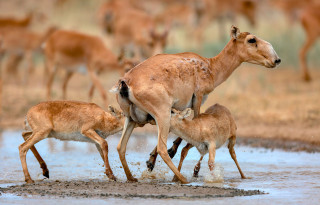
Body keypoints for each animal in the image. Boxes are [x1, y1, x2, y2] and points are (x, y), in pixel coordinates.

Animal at [112, 25, 280, 184]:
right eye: (251, 39)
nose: (276, 59)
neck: (211, 67)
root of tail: (126, 82)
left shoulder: (180, 108)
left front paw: (151, 161)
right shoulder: (198, 99)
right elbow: (194, 125)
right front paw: (194, 169)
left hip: (131, 119)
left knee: (121, 147)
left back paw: (131, 177)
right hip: (162, 114)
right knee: (161, 148)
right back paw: (182, 178)